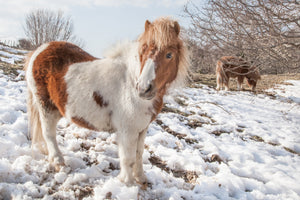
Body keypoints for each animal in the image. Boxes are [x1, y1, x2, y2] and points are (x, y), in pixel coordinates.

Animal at [26, 17, 190, 186]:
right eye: (143, 51)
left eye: (169, 55)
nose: (144, 89)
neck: (130, 81)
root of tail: (39, 50)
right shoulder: (127, 130)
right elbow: (128, 158)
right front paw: (128, 183)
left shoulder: (142, 129)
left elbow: (139, 154)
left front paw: (141, 178)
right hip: (46, 107)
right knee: (49, 134)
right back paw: (59, 163)